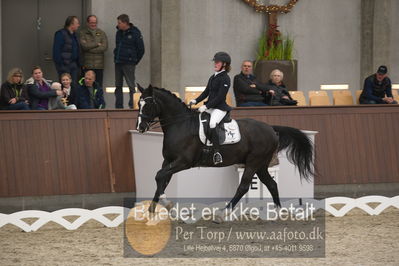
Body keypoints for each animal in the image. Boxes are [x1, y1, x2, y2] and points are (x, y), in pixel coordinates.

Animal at [138, 85, 316, 218]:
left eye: (148, 104)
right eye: (138, 104)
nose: (140, 127)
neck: (179, 125)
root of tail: (271, 128)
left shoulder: (183, 162)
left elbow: (159, 176)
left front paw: (165, 204)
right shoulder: (168, 161)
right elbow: (162, 179)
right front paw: (152, 211)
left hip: (253, 162)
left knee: (244, 186)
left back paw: (223, 213)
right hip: (261, 165)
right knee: (271, 184)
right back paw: (278, 212)